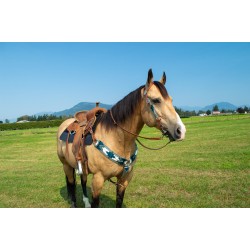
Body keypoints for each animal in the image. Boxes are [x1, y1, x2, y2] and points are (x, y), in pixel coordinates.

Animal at [56, 69, 186, 208]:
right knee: (71, 185)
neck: (118, 139)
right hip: (66, 165)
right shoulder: (98, 180)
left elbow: (119, 201)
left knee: (82, 180)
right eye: (156, 100)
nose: (181, 130)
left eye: (171, 100)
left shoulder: (124, 180)